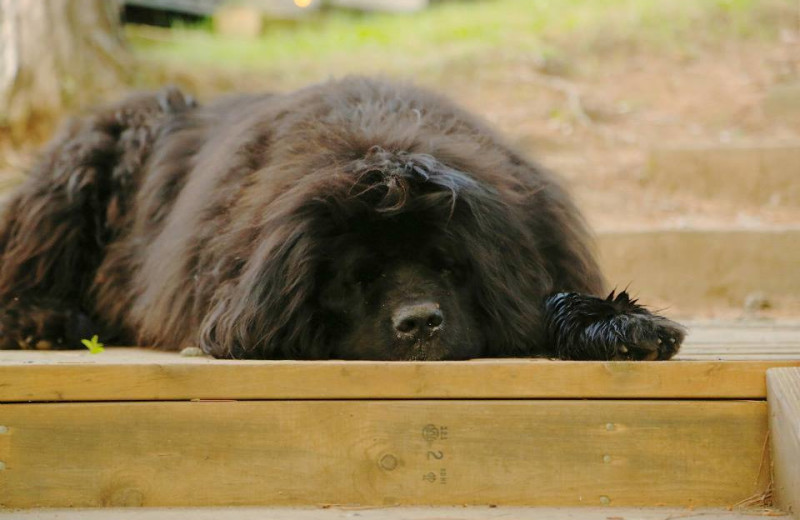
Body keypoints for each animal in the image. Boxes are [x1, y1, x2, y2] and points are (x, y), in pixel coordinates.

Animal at [0, 77, 688, 360]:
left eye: (451, 265)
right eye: (359, 276)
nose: (419, 323)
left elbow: (553, 295)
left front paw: (622, 327)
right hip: (79, 170)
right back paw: (40, 322)